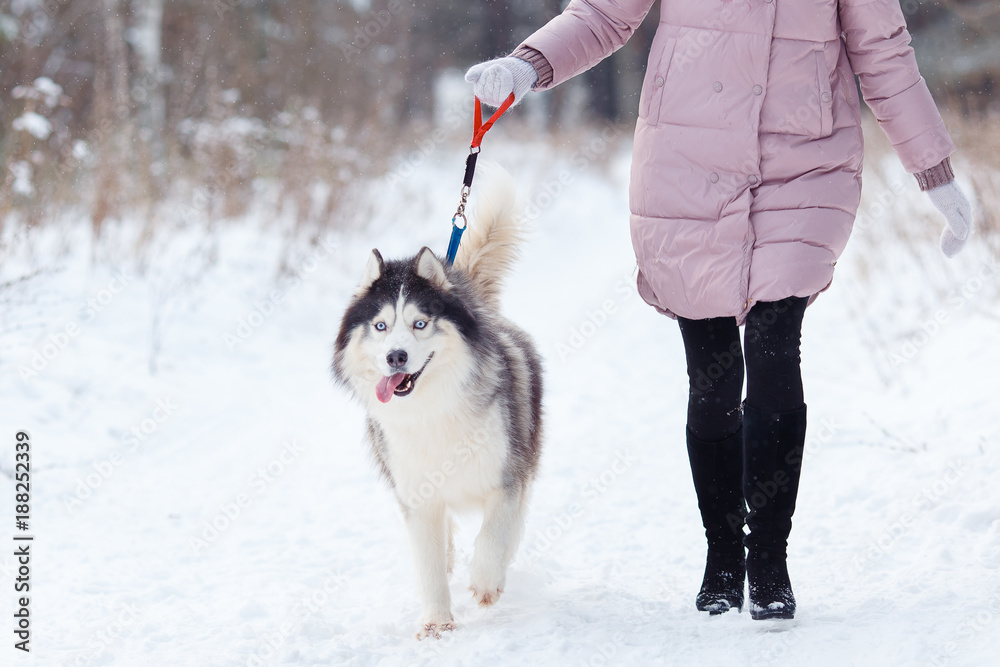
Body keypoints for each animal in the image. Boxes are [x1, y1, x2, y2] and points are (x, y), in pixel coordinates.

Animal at [332, 172, 544, 640]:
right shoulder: (416, 494)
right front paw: (436, 623)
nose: (396, 357)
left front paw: (486, 582)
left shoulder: (507, 474)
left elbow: (495, 533)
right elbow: (427, 561)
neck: (431, 410)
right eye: (380, 326)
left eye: (420, 323)